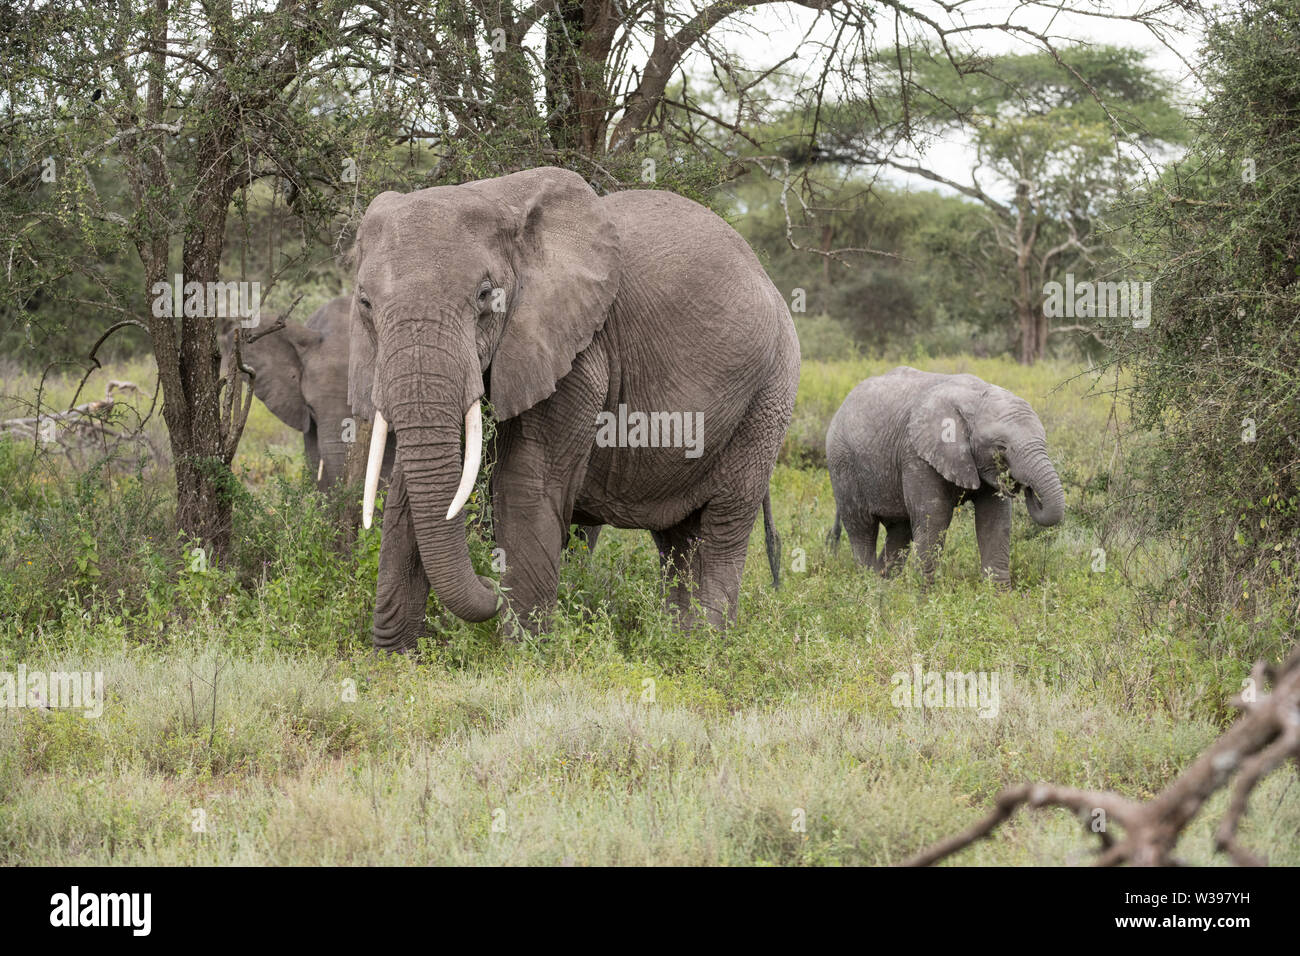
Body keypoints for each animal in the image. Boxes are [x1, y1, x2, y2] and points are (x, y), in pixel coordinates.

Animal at [351, 167, 795, 655]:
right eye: (365, 303)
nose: (489, 585)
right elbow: (406, 492)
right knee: (679, 538)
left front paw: (522, 659)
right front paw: (394, 661)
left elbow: (529, 480)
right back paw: (674, 643)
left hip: (769, 395)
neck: (497, 195)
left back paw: (705, 648)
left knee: (723, 525)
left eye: (485, 296)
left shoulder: (579, 353)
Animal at [826, 366, 1060, 587]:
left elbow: (995, 519)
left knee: (899, 531)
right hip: (842, 464)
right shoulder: (916, 455)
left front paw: (999, 597)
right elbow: (935, 516)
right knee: (862, 528)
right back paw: (869, 585)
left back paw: (886, 586)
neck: (976, 398)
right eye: (1001, 447)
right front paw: (922, 598)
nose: (1027, 488)